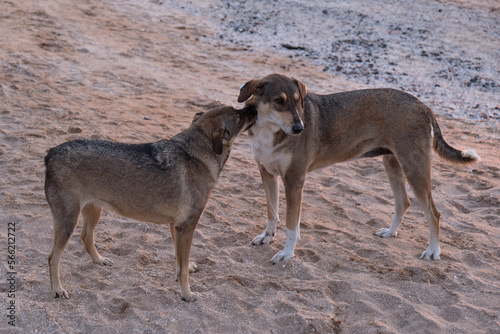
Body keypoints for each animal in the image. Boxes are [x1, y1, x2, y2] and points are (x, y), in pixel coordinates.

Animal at [45, 105, 256, 302]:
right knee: (52, 258)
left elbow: (180, 261)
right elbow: (182, 270)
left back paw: (99, 260)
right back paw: (57, 289)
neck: (196, 152)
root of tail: (51, 152)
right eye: (239, 117)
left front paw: (186, 270)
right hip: (68, 222)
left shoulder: (175, 226)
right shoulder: (186, 227)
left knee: (86, 237)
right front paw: (187, 294)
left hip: (94, 212)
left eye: (238, 110)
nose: (253, 107)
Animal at [238, 73, 480, 264]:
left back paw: (433, 251)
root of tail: (425, 107)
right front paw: (268, 236)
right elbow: (272, 212)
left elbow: (290, 225)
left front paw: (287, 253)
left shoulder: (294, 181)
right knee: (403, 202)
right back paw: (391, 232)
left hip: (415, 170)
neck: (269, 130)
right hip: (393, 165)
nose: (300, 128)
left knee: (433, 213)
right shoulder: (267, 174)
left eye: (298, 102)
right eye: (279, 101)